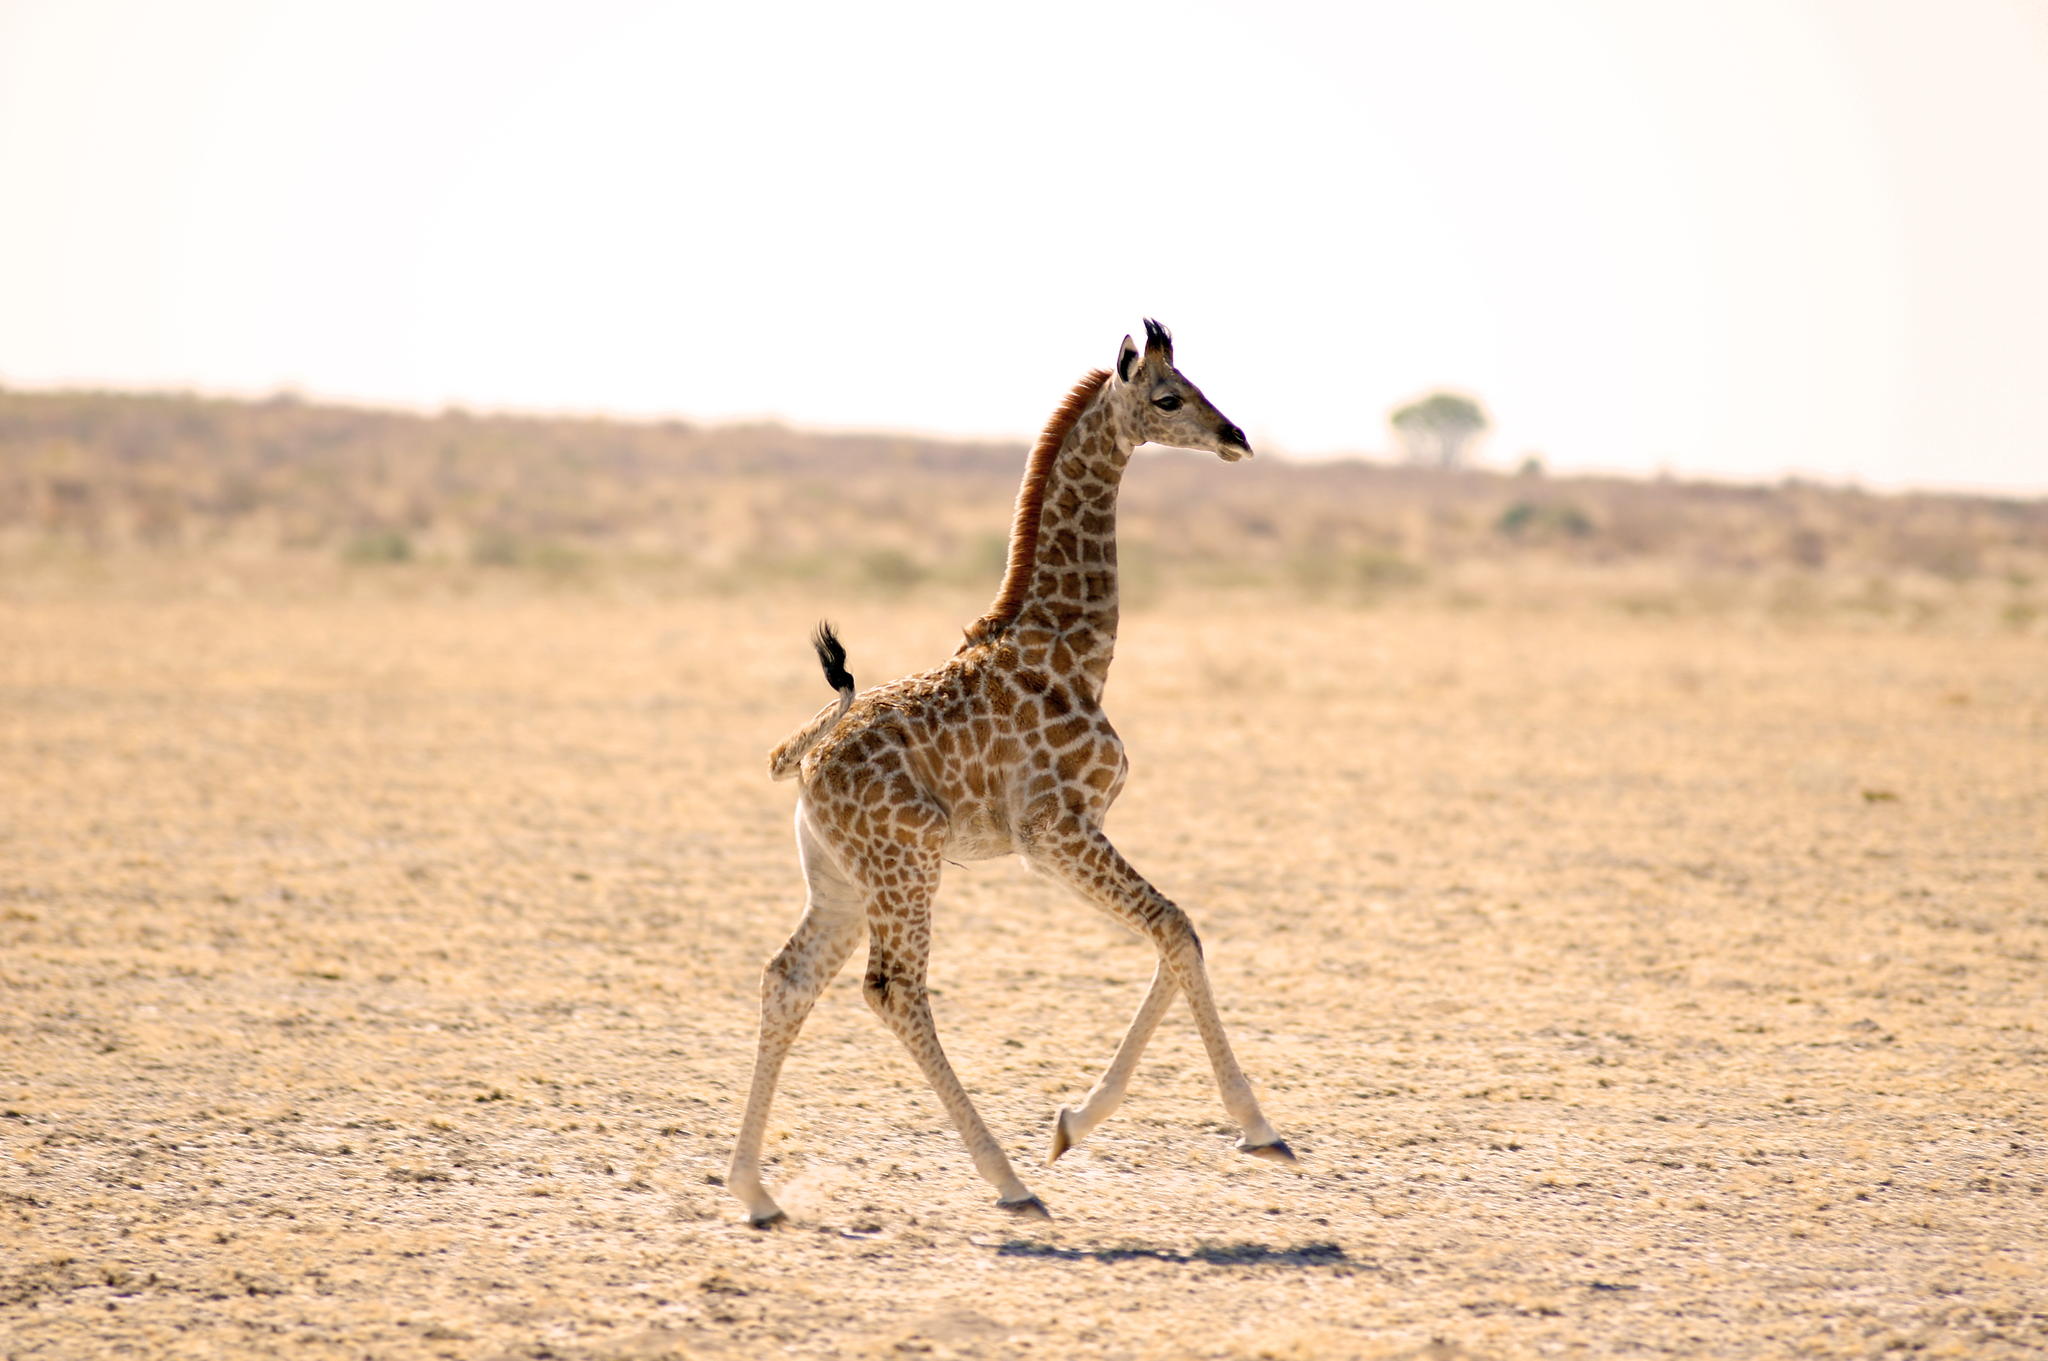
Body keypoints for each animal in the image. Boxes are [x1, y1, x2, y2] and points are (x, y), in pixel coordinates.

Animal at [729, 319, 1286, 1219]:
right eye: (1169, 397)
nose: (1235, 436)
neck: (1076, 650)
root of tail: (803, 761)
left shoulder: (1064, 838)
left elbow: (1174, 933)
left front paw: (1074, 1122)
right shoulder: (1055, 829)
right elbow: (1174, 926)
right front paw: (1255, 1126)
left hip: (841, 877)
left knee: (788, 978)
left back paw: (754, 1190)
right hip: (908, 861)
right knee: (894, 990)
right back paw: (1009, 1180)